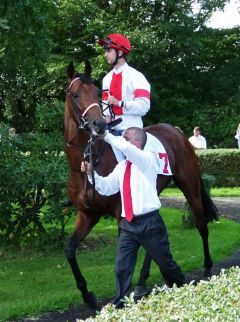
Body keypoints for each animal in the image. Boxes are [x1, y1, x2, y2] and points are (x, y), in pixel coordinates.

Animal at [64, 61, 218, 306]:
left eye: (97, 93)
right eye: (76, 94)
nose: (99, 125)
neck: (92, 157)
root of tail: (177, 132)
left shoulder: (120, 214)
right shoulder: (88, 213)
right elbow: (69, 249)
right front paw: (87, 295)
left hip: (190, 187)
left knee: (202, 226)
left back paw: (207, 268)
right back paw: (142, 282)